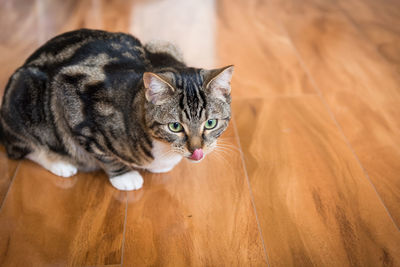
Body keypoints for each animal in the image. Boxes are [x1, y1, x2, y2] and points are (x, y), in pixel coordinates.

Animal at [0, 29, 233, 192]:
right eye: (175, 126)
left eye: (211, 123)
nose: (196, 150)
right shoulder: (71, 98)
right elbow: (102, 153)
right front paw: (124, 176)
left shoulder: (163, 45)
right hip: (26, 94)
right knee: (21, 147)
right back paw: (59, 162)